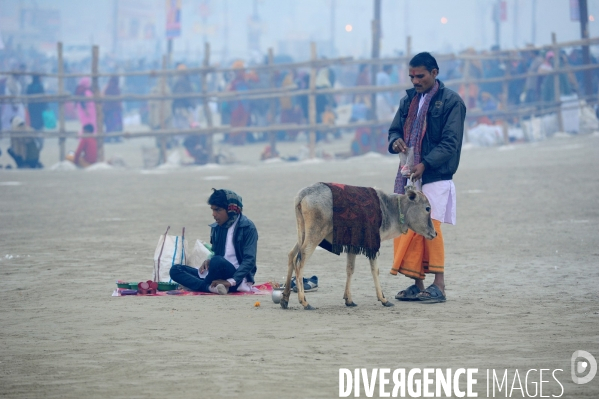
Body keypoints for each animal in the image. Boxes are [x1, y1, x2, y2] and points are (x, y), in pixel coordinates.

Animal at [282, 183, 436, 310]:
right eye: (427, 208)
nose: (434, 233)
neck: (389, 208)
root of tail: (303, 195)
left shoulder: (353, 245)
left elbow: (350, 269)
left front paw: (349, 300)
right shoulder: (373, 245)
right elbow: (375, 270)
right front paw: (383, 299)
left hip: (302, 234)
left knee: (291, 255)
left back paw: (285, 298)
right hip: (315, 234)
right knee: (299, 261)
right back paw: (304, 302)